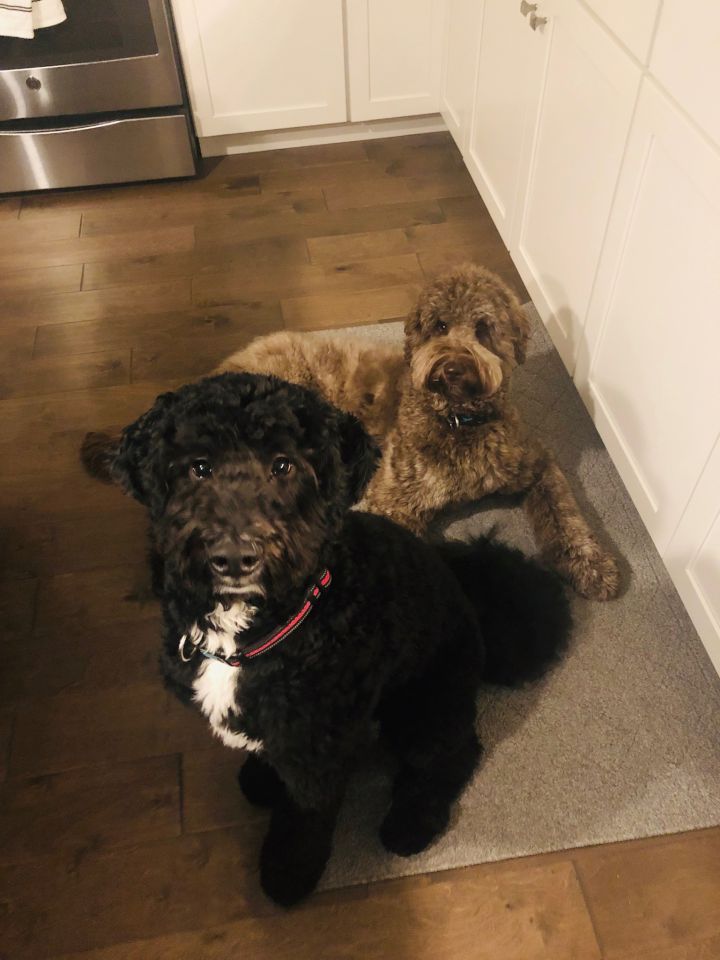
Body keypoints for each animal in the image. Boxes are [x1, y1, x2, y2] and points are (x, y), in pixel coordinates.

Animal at [84, 372, 571, 906]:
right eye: (199, 466)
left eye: (284, 464)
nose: (234, 557)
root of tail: (469, 593)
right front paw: (262, 776)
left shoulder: (318, 745)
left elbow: (305, 816)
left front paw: (288, 872)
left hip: (424, 704)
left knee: (452, 755)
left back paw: (410, 823)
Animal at [217, 264, 621, 601]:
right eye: (440, 325)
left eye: (483, 328)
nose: (453, 367)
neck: (458, 422)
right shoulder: (394, 500)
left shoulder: (534, 464)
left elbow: (564, 513)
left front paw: (591, 564)